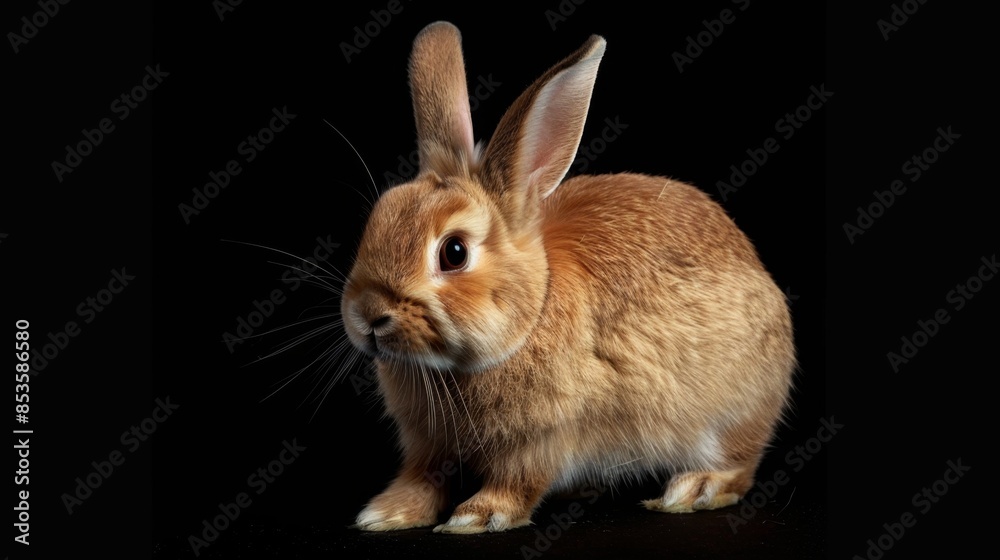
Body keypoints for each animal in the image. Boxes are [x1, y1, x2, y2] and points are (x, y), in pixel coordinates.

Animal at [340, 21, 795, 534]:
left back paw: (695, 489)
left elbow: (517, 481)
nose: (367, 316)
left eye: (454, 253)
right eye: (378, 219)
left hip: (732, 413)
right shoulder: (426, 445)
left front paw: (477, 517)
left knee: (739, 464)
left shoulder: (544, 438)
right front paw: (387, 513)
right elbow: (421, 477)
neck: (529, 316)